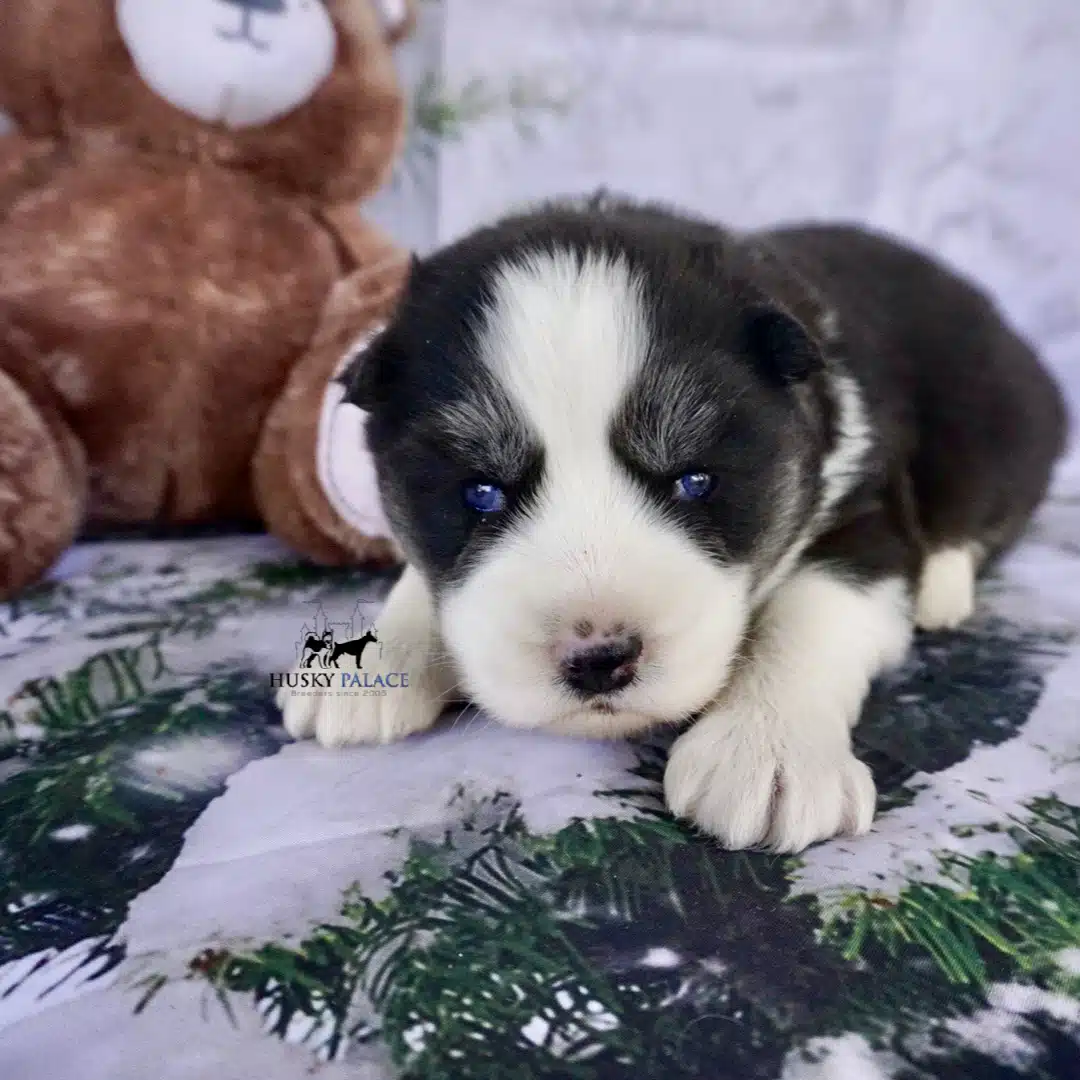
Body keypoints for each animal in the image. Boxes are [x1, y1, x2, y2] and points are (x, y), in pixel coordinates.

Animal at [280, 194, 1071, 851]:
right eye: (480, 494)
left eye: (694, 481)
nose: (599, 658)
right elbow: (421, 577)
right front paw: (372, 662)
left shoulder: (866, 512)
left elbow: (812, 614)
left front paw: (768, 752)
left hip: (995, 417)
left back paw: (942, 587)